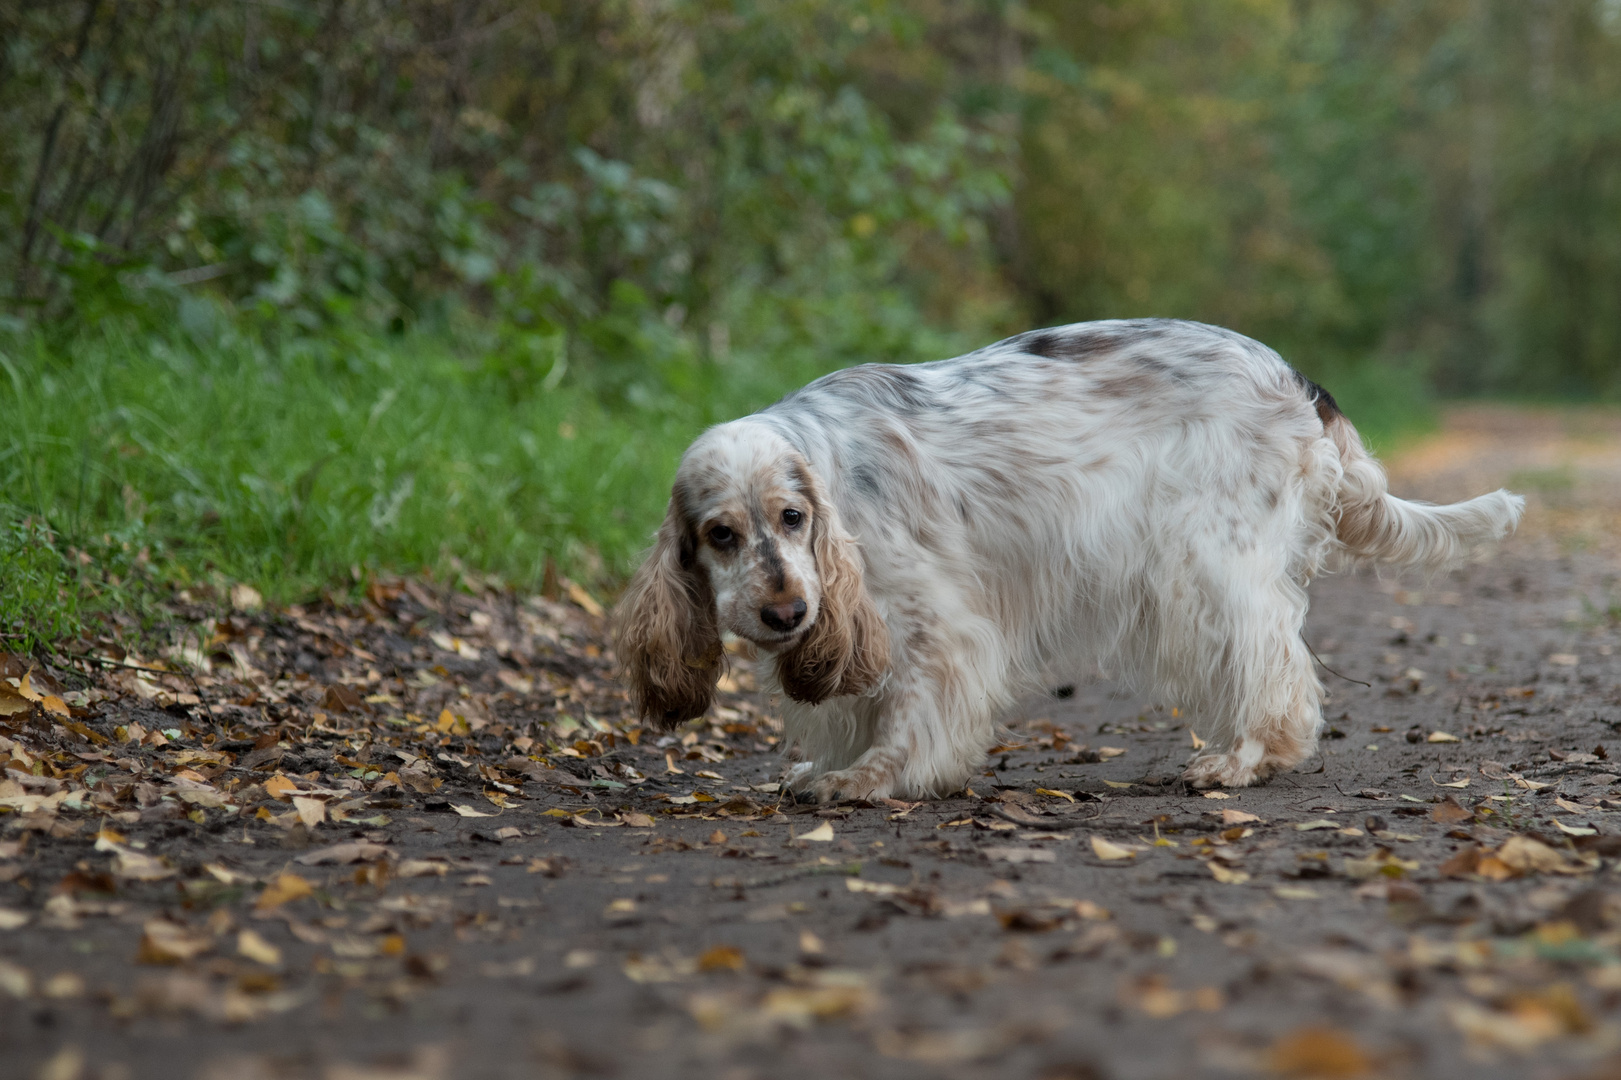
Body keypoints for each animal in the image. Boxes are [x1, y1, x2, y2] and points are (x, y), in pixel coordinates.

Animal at [612, 316, 1523, 794]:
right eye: (719, 535)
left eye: (792, 516)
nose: (785, 613)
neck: (833, 467)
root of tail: (1294, 377)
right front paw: (827, 769)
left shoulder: (936, 621)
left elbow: (907, 716)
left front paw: (870, 777)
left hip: (1211, 562)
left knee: (1277, 670)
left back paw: (1242, 759)